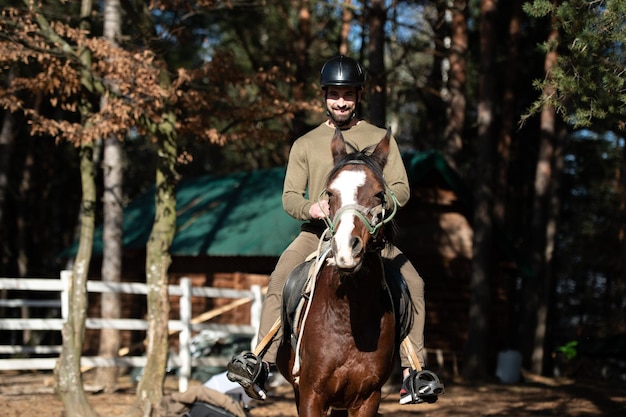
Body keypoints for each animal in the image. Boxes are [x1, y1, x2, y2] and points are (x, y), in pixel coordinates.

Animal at [272, 127, 404, 416]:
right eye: (330, 194)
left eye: (379, 194)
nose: (346, 249)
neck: (348, 318)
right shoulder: (311, 395)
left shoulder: (367, 398)